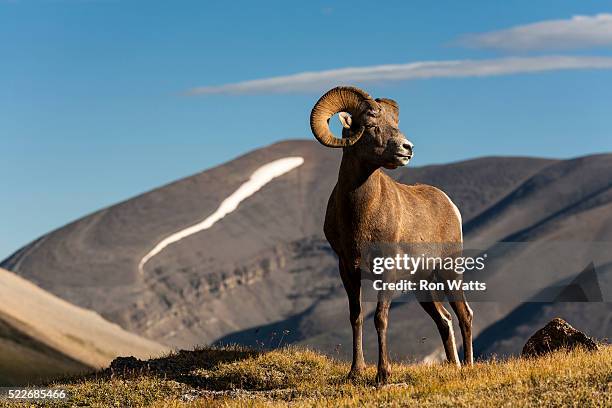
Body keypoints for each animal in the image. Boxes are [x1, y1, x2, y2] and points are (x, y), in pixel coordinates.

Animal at [310, 85, 474, 382]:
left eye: (395, 125)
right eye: (372, 125)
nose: (407, 148)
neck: (360, 216)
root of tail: (450, 205)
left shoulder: (386, 271)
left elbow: (380, 318)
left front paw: (382, 375)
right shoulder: (347, 269)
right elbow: (356, 316)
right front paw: (355, 372)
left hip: (450, 272)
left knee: (464, 315)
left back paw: (467, 367)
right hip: (422, 285)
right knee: (444, 320)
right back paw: (454, 366)